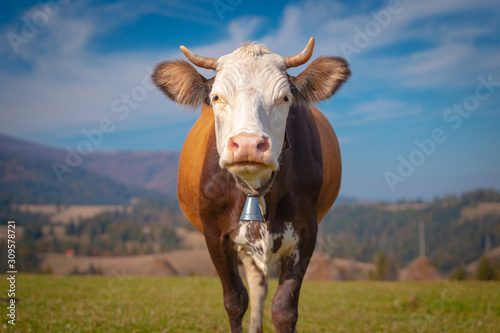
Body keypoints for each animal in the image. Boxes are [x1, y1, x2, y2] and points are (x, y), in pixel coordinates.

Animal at [150, 37, 350, 332]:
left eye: (285, 98)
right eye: (216, 97)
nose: (247, 144)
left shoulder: (306, 233)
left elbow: (284, 309)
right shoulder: (215, 235)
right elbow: (235, 301)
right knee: (256, 287)